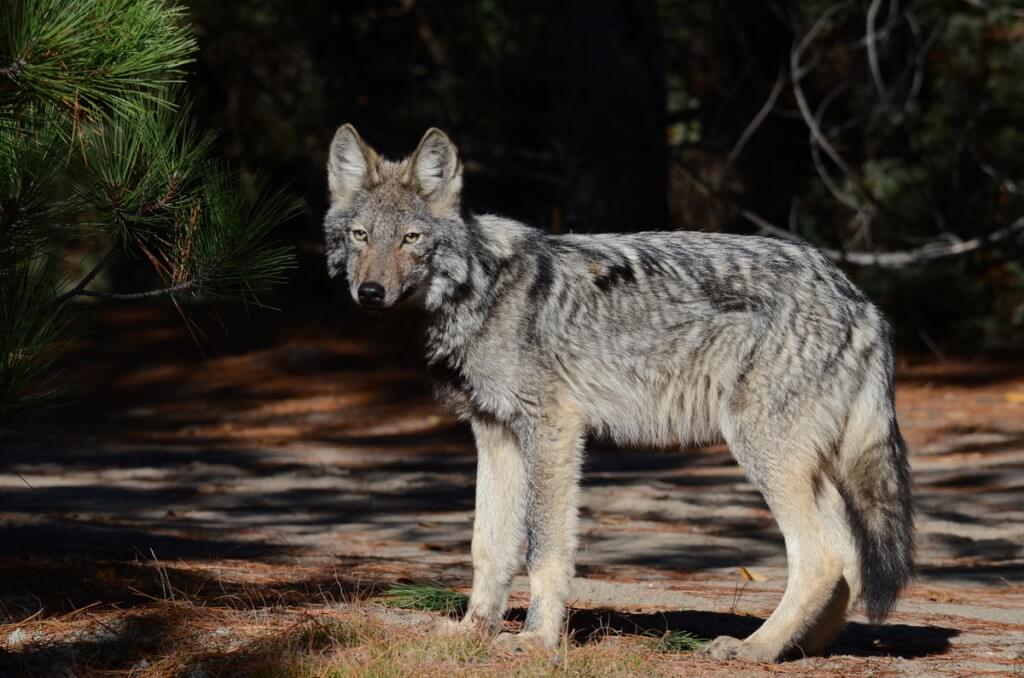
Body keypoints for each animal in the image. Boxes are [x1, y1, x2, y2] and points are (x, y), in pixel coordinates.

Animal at [319, 124, 913, 659]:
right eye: (361, 236)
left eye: (411, 238)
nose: (370, 292)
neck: (479, 291)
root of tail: (862, 302)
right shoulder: (494, 434)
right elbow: (487, 546)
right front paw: (472, 631)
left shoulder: (553, 429)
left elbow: (544, 549)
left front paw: (536, 639)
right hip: (807, 466)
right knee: (848, 558)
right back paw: (796, 649)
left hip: (763, 454)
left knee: (820, 559)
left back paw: (754, 648)